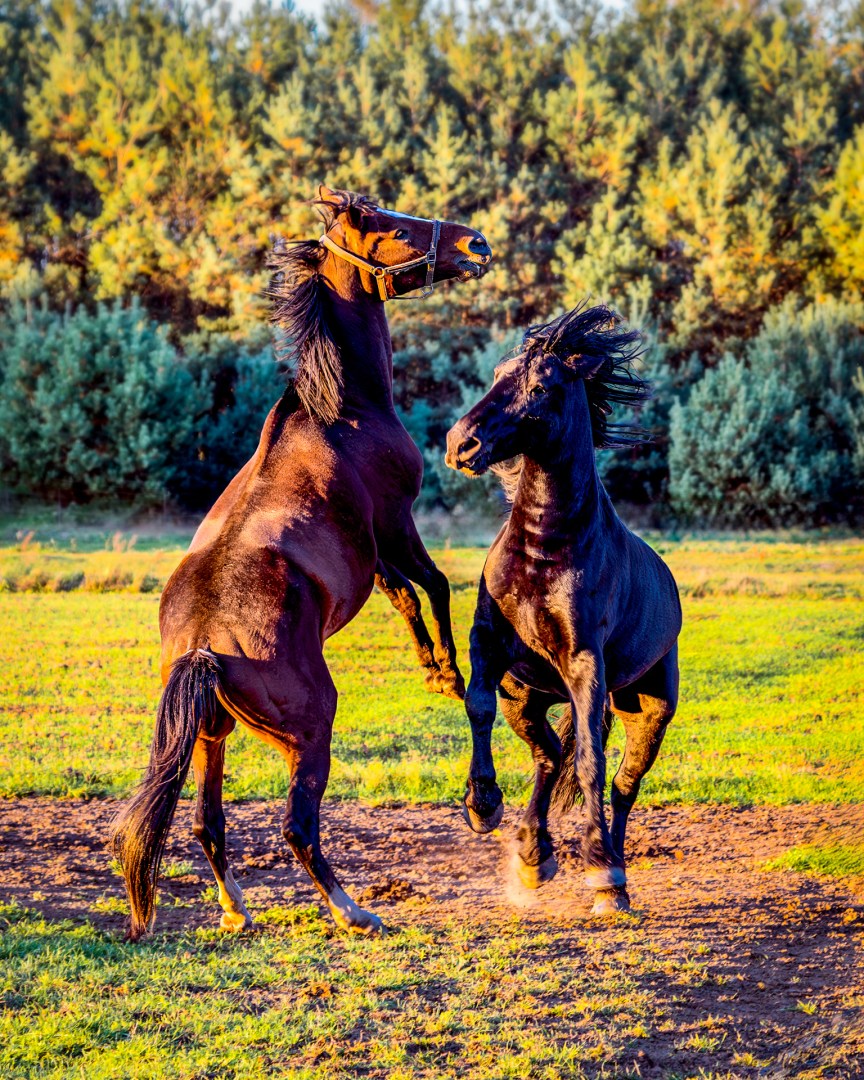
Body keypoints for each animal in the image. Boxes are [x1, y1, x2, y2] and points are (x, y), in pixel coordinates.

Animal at [111, 186, 492, 940]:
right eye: (392, 226)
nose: (476, 245)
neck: (339, 411)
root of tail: (203, 647)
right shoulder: (395, 523)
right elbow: (433, 586)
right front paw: (447, 673)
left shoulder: (370, 555)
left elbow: (404, 596)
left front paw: (431, 665)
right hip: (311, 730)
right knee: (296, 828)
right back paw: (355, 911)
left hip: (212, 737)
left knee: (207, 826)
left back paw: (237, 910)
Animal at [445, 304, 681, 915]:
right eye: (498, 374)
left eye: (542, 386)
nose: (462, 443)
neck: (544, 548)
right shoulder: (488, 644)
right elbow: (477, 706)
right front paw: (482, 804)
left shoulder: (583, 664)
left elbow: (592, 762)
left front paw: (600, 870)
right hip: (527, 698)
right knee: (550, 755)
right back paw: (533, 854)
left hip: (648, 710)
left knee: (622, 783)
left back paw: (613, 874)